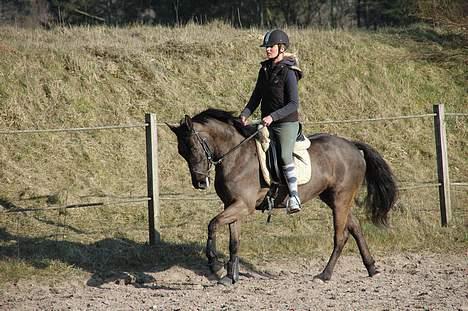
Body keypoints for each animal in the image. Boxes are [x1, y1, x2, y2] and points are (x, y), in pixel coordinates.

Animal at [166, 108, 396, 286]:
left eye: (193, 147)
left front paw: (215, 266)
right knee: (355, 225)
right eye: (181, 152)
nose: (199, 182)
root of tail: (353, 146)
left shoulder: (243, 205)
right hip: (332, 198)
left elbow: (212, 224)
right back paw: (371, 267)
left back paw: (325, 275)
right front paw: (230, 276)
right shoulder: (231, 205)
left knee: (341, 236)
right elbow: (234, 242)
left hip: (341, 198)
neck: (236, 156)